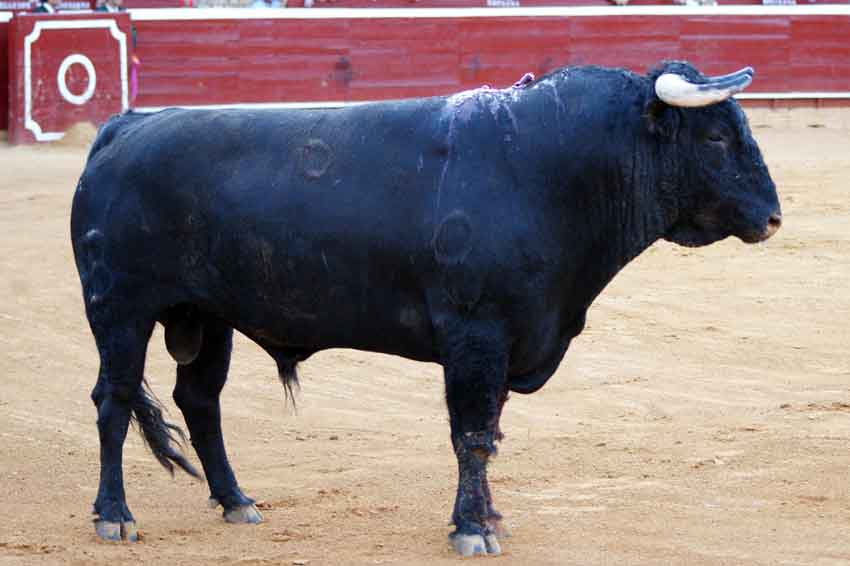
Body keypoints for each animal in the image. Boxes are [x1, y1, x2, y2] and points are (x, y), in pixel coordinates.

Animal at [69, 61, 780, 556]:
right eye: (716, 139)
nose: (773, 216)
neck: (548, 169)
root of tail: (126, 127)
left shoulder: (508, 341)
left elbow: (488, 433)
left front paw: (488, 517)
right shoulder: (476, 334)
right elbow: (471, 434)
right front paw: (472, 529)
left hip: (206, 316)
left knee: (199, 401)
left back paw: (236, 501)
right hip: (120, 310)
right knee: (114, 399)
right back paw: (114, 516)